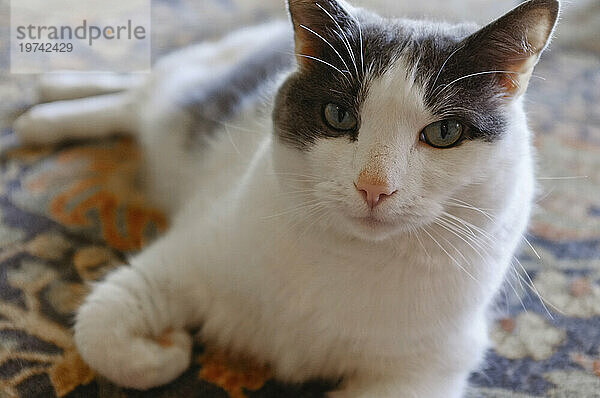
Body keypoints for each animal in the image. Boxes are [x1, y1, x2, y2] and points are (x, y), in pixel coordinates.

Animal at [12, 0, 556, 396]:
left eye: (444, 133)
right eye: (338, 116)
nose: (374, 186)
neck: (353, 261)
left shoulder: (427, 369)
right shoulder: (182, 260)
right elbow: (101, 336)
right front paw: (170, 351)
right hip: (188, 92)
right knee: (142, 90)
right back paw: (42, 111)